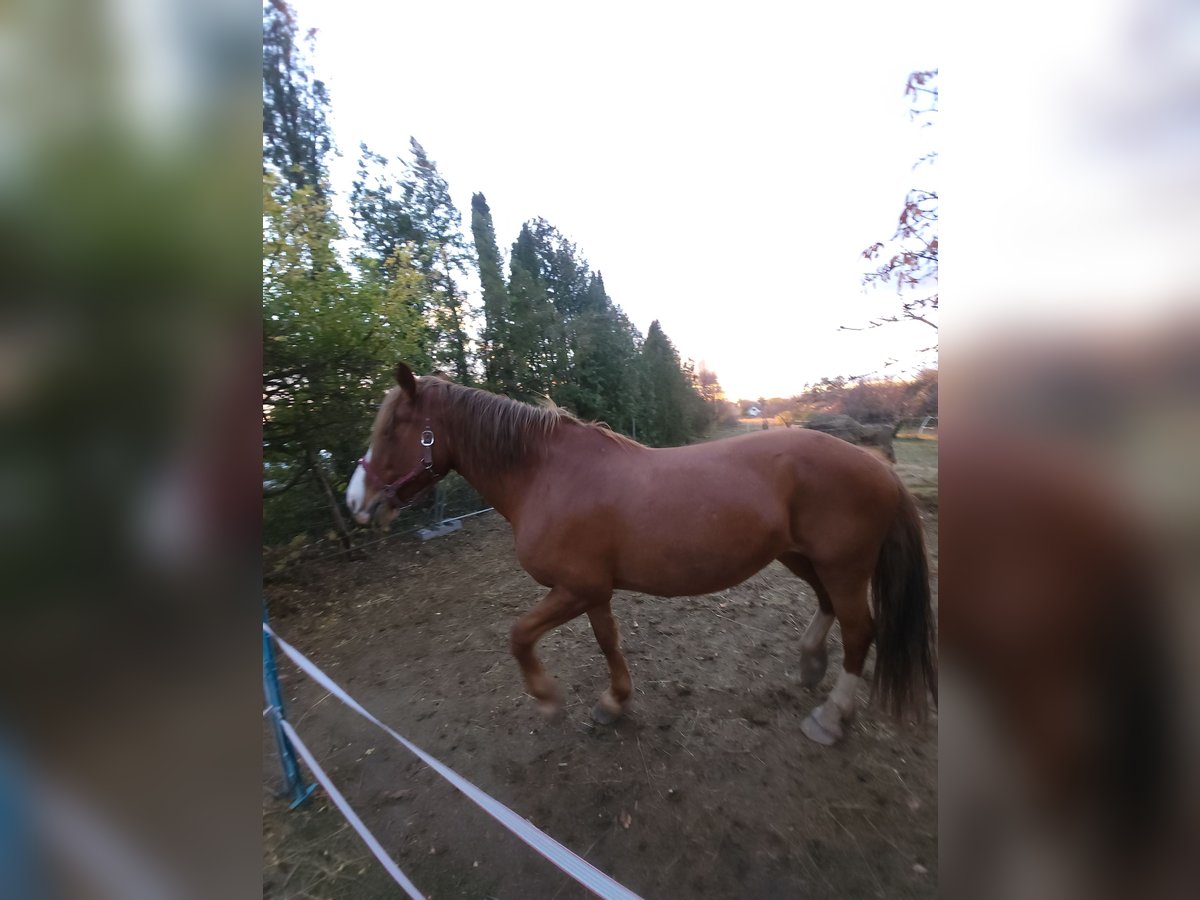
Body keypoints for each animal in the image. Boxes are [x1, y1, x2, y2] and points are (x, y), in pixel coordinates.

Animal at [346, 363, 936, 745]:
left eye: (392, 429)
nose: (356, 501)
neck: (546, 475)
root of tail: (878, 467)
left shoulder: (575, 589)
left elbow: (518, 636)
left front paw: (548, 698)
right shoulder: (592, 591)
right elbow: (608, 642)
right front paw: (614, 702)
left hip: (842, 566)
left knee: (860, 630)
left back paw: (831, 718)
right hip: (802, 557)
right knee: (828, 607)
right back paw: (811, 664)